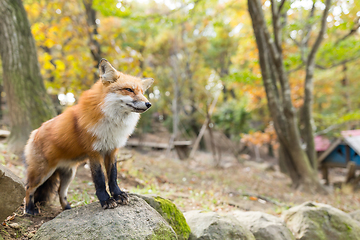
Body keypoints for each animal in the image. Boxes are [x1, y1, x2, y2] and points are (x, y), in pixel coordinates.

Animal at [23, 59, 153, 215]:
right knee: (29, 188)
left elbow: (113, 176)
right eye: (129, 89)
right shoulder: (94, 152)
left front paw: (118, 195)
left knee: (61, 192)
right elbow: (100, 179)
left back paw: (68, 209)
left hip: (69, 174)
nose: (149, 104)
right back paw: (29, 209)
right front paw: (106, 200)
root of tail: (34, 132)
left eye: (142, 92)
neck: (112, 122)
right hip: (42, 172)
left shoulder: (112, 150)